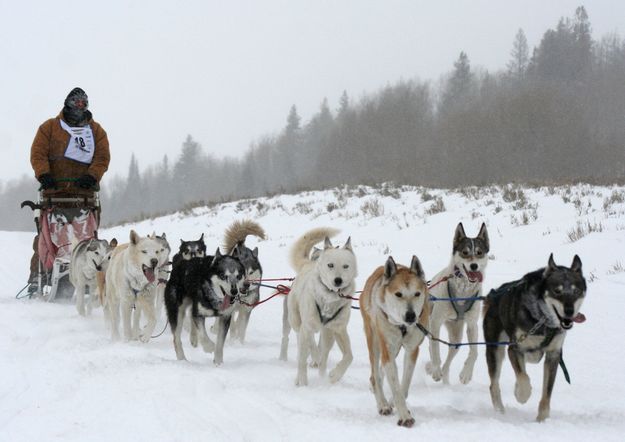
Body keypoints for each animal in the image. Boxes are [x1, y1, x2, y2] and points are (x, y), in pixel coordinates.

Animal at [282, 228, 356, 386]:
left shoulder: (338, 329)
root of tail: (307, 265)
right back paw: (302, 377)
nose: (338, 280)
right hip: (296, 322)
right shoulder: (307, 326)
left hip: (328, 334)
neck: (329, 298)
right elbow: (311, 346)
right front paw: (308, 372)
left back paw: (321, 372)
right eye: (330, 265)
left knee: (324, 351)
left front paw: (335, 375)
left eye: (346, 266)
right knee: (303, 351)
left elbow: (349, 356)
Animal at [360, 256, 428, 428]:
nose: (411, 315)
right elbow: (396, 388)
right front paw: (404, 416)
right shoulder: (387, 349)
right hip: (375, 342)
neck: (402, 326)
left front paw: (396, 404)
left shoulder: (411, 349)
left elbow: (403, 385)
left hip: (395, 349)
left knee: (380, 373)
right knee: (375, 375)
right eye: (399, 294)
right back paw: (382, 404)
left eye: (417, 293)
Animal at [424, 223, 488, 386]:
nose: (474, 266)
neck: (463, 289)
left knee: (448, 360)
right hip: (430, 324)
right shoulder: (436, 322)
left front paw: (466, 374)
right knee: (432, 348)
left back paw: (444, 377)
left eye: (479, 252)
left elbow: (474, 352)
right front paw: (435, 370)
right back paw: (433, 368)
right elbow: (435, 349)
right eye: (465, 252)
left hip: (456, 339)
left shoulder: (472, 325)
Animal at [482, 252, 584, 422]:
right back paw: (500, 411)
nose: (569, 311)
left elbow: (546, 393)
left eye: (576, 292)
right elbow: (523, 378)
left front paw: (542, 419)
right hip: (495, 350)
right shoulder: (515, 348)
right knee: (494, 385)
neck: (542, 319)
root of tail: (494, 293)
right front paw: (522, 394)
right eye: (557, 291)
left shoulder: (553, 355)